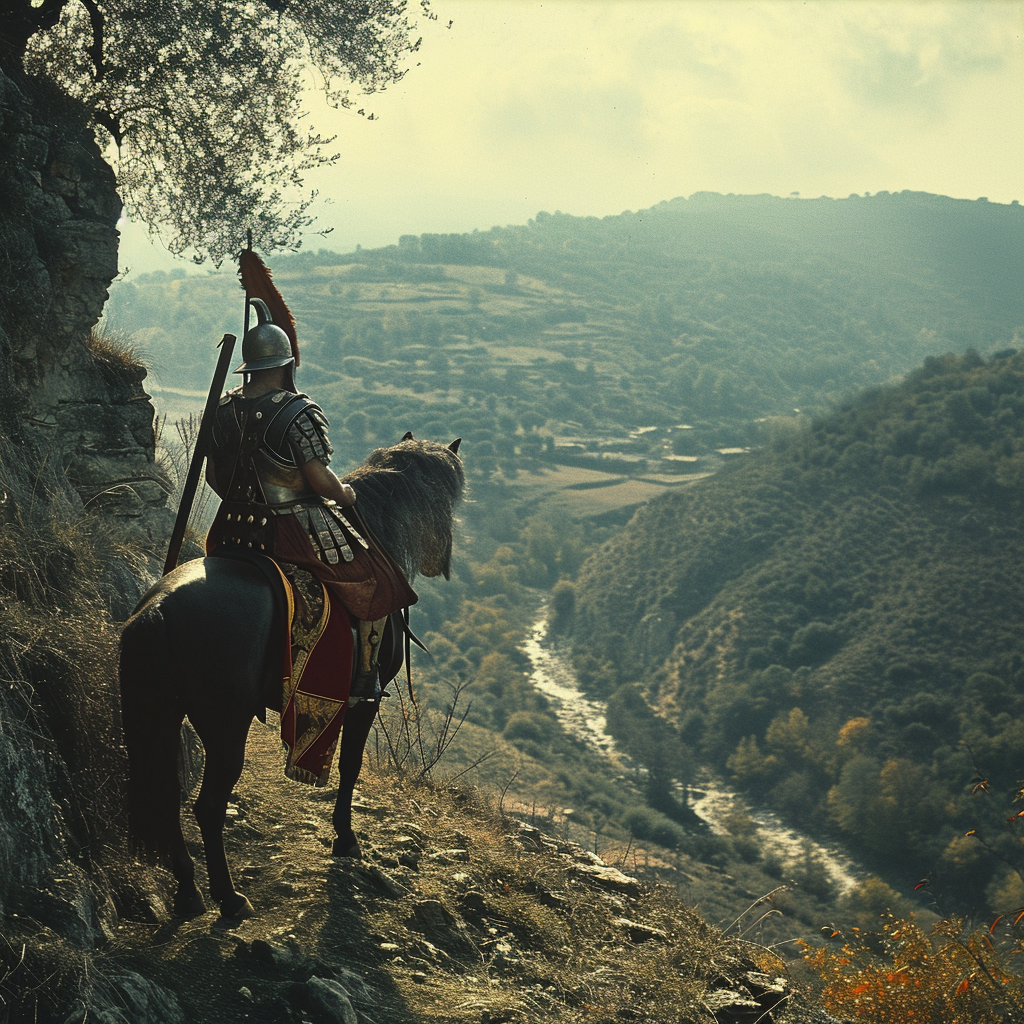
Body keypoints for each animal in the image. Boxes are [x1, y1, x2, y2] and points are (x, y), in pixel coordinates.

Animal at [118, 436, 464, 917]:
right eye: (446, 499)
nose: (441, 559)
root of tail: (158, 608)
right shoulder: (366, 702)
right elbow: (351, 766)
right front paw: (346, 839)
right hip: (226, 726)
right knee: (207, 806)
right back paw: (229, 898)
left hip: (164, 718)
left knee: (168, 796)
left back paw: (188, 893)